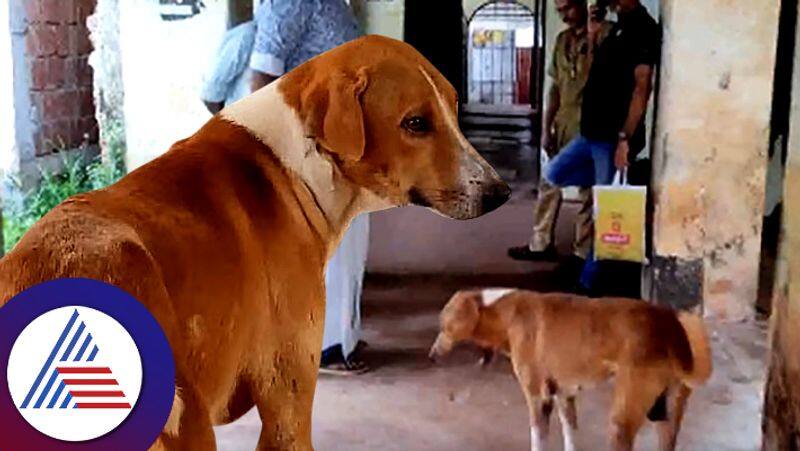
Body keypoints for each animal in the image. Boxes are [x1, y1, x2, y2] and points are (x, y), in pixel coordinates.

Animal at [0, 36, 510, 451]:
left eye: (453, 108)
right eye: (416, 123)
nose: (500, 193)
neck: (301, 162)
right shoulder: (287, 403)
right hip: (189, 426)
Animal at [432, 290, 712, 451]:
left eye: (445, 326)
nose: (431, 356)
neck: (503, 311)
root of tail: (669, 324)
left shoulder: (537, 397)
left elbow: (538, 440)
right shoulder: (563, 396)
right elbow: (570, 436)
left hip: (622, 419)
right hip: (667, 414)